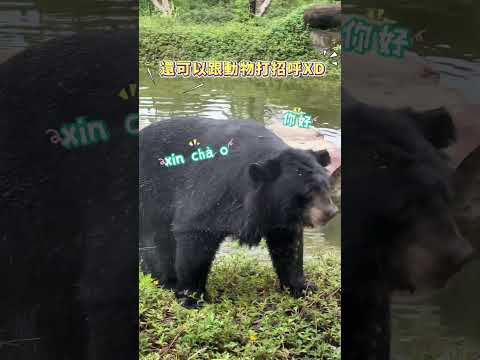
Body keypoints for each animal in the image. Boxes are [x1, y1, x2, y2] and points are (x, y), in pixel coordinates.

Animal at [139, 117, 338, 306]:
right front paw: (193, 298)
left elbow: (288, 246)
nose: (330, 212)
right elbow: (194, 235)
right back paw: (165, 281)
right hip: (150, 195)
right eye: (307, 192)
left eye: (326, 185)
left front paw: (303, 287)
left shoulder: (279, 215)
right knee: (156, 242)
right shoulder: (212, 191)